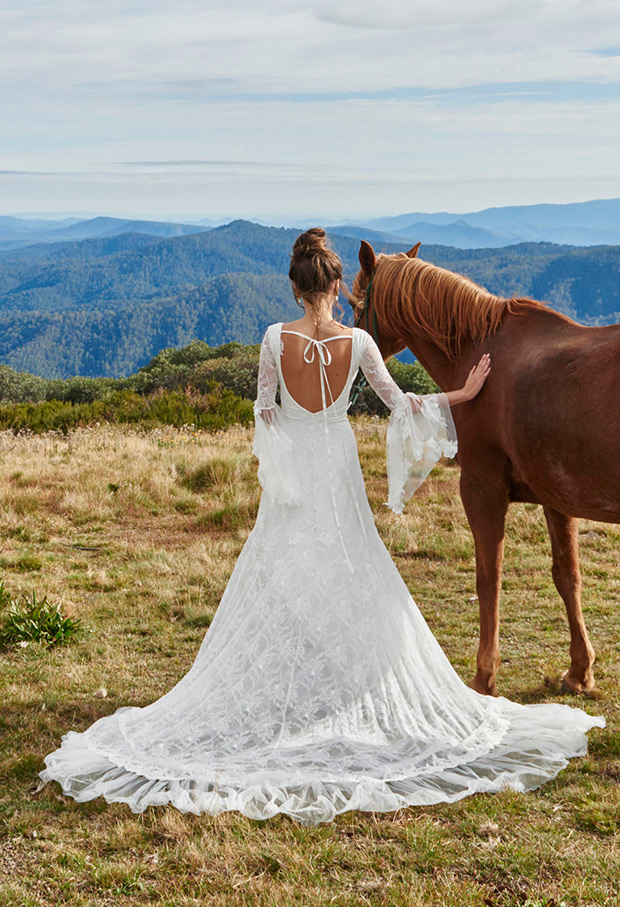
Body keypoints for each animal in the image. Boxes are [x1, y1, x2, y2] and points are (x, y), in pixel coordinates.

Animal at [352, 239, 620, 696]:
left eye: (355, 303)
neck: (479, 347)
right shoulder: (556, 498)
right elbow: (568, 577)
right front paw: (579, 671)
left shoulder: (482, 488)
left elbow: (488, 577)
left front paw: (484, 676)